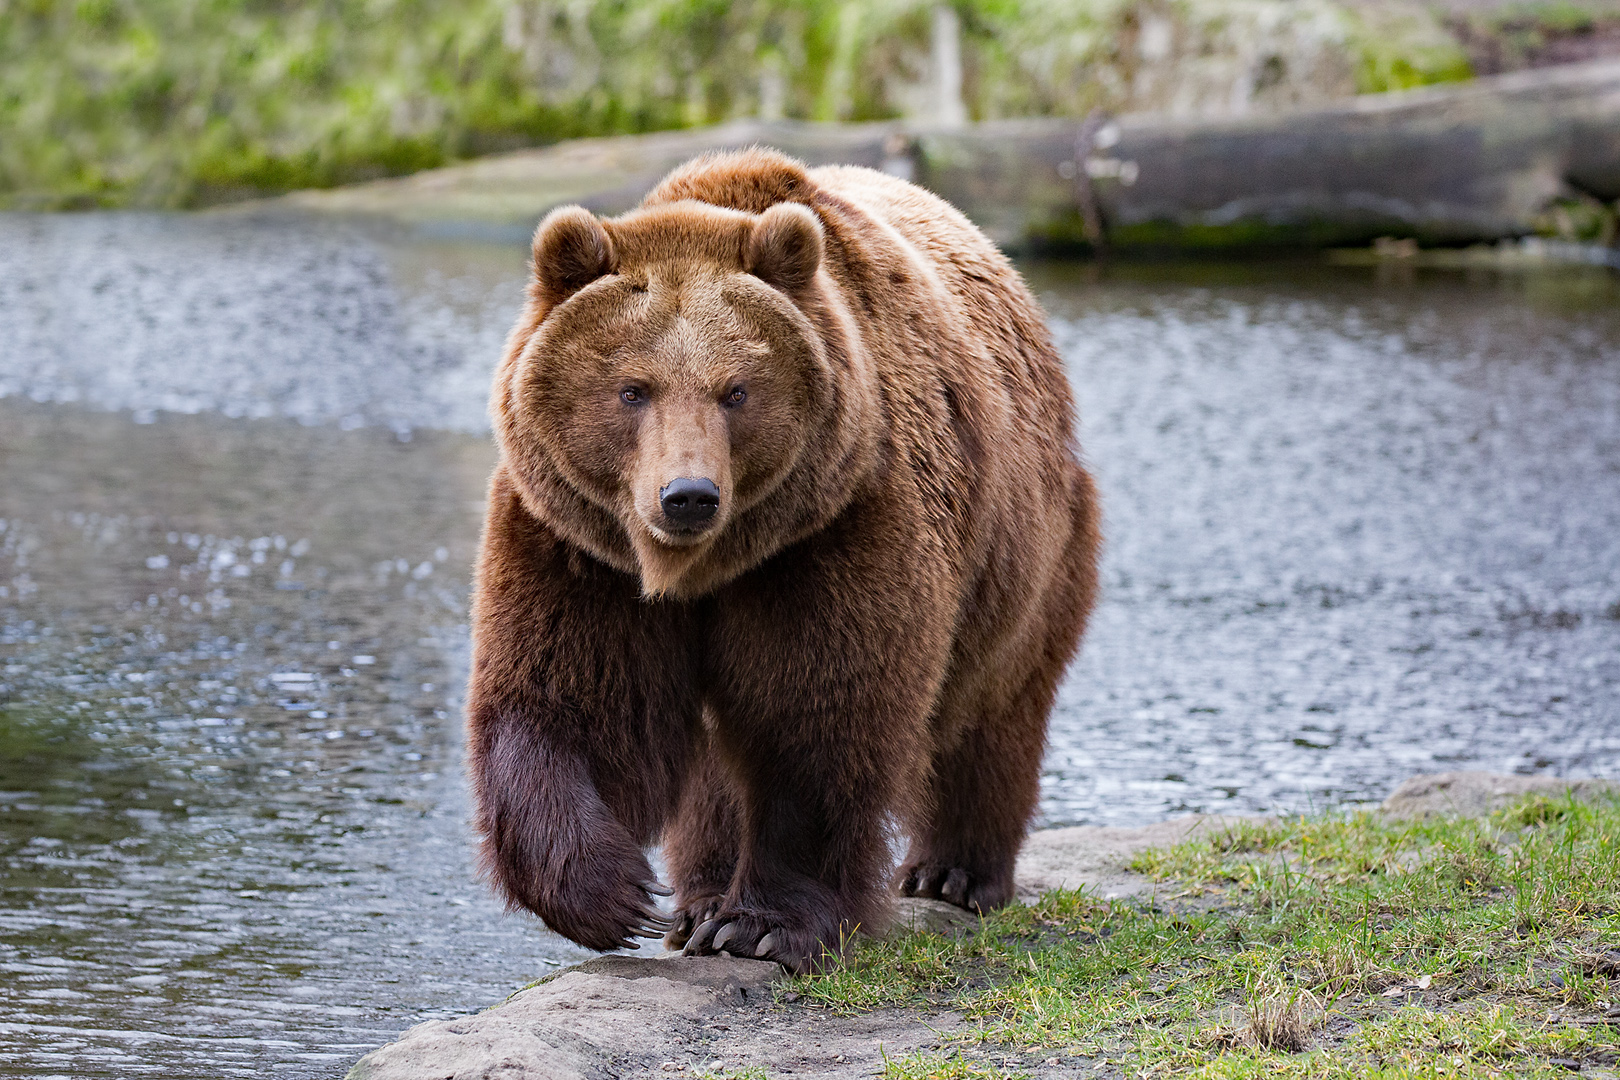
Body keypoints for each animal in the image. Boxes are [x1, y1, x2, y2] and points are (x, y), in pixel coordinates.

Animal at [469, 148, 1101, 977]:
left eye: (735, 390)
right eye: (632, 389)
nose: (688, 496)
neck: (698, 568)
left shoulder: (830, 533)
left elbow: (815, 724)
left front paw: (765, 926)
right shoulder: (577, 542)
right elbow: (568, 699)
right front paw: (612, 895)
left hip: (1025, 549)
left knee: (993, 706)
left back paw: (955, 872)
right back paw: (698, 902)